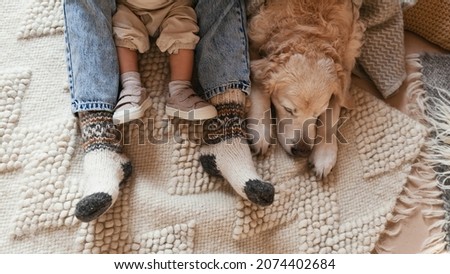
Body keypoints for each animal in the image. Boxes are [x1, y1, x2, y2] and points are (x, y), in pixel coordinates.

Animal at [248, 0, 364, 179]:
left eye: (318, 113)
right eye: (287, 109)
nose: (301, 151)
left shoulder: (347, 57)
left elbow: (334, 108)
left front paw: (324, 153)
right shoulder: (254, 40)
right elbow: (260, 86)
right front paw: (260, 129)